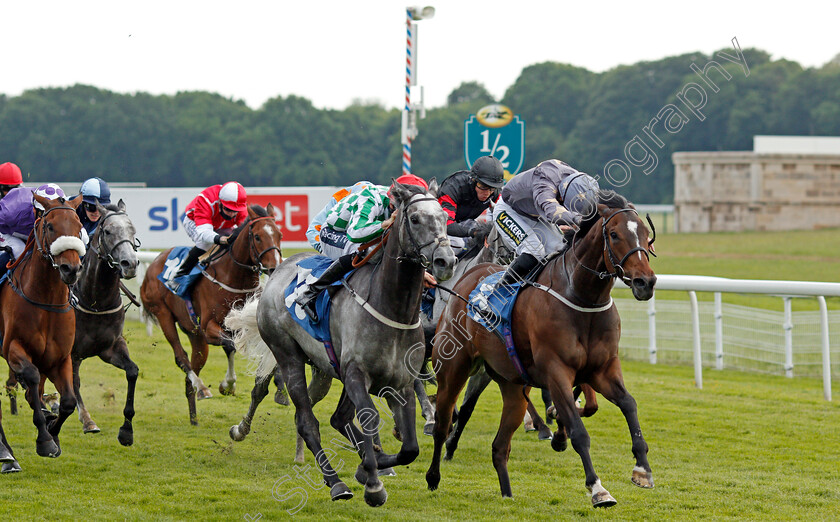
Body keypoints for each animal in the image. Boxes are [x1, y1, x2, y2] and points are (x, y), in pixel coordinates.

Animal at [0, 193, 86, 462]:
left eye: (79, 226)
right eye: (49, 226)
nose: (71, 269)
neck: (46, 301)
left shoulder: (59, 357)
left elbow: (68, 401)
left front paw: (53, 431)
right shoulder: (12, 348)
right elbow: (31, 378)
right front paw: (45, 439)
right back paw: (6, 455)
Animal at [139, 202, 282, 422]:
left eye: (280, 235)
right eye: (257, 236)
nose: (275, 267)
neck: (233, 277)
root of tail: (153, 264)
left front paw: (279, 387)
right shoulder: (209, 327)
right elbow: (231, 346)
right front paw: (228, 385)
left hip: (195, 334)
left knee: (193, 366)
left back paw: (194, 417)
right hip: (164, 315)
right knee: (181, 357)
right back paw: (202, 388)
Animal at [226, 181, 456, 506]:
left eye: (445, 217)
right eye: (414, 219)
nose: (445, 261)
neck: (390, 307)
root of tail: (278, 272)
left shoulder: (400, 382)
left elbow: (409, 448)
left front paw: (372, 465)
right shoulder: (357, 374)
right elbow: (370, 419)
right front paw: (372, 484)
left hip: (325, 369)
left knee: (336, 417)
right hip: (288, 356)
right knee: (307, 421)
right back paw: (335, 482)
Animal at [430, 193, 660, 506]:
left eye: (646, 235)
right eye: (614, 235)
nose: (645, 282)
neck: (582, 297)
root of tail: (466, 279)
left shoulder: (603, 369)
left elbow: (628, 404)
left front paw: (642, 470)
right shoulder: (556, 370)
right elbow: (578, 431)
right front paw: (597, 488)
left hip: (510, 384)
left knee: (499, 445)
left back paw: (507, 493)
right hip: (453, 368)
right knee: (443, 421)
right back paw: (433, 475)